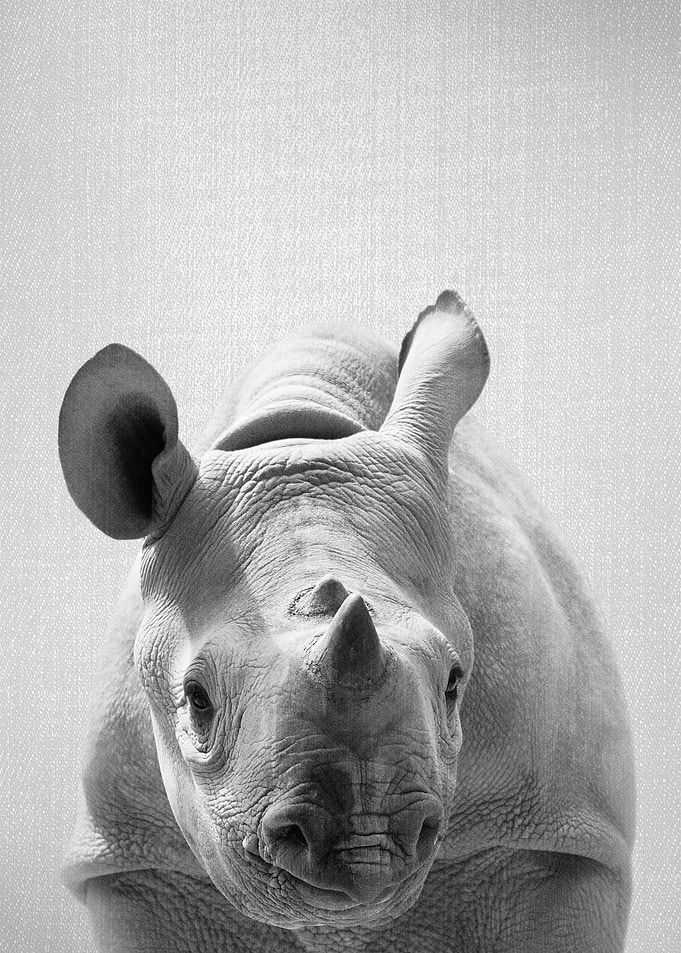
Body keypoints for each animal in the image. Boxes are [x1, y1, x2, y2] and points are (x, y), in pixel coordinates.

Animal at [58, 291, 635, 952]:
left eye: (455, 683)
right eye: (196, 699)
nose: (367, 846)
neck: (297, 434)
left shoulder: (556, 834)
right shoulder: (137, 858)